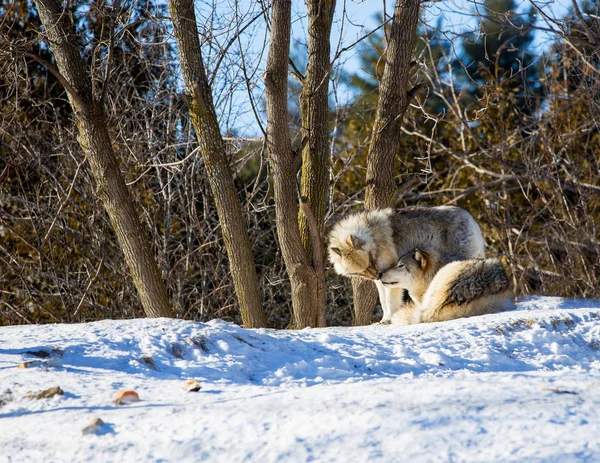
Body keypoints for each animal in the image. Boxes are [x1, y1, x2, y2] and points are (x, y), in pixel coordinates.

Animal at [326, 205, 486, 324]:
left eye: (370, 260)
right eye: (362, 270)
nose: (377, 275)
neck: (372, 235)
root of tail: (470, 217)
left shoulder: (388, 278)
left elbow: (390, 302)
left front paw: (388, 320)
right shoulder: (381, 280)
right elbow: (383, 301)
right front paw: (383, 320)